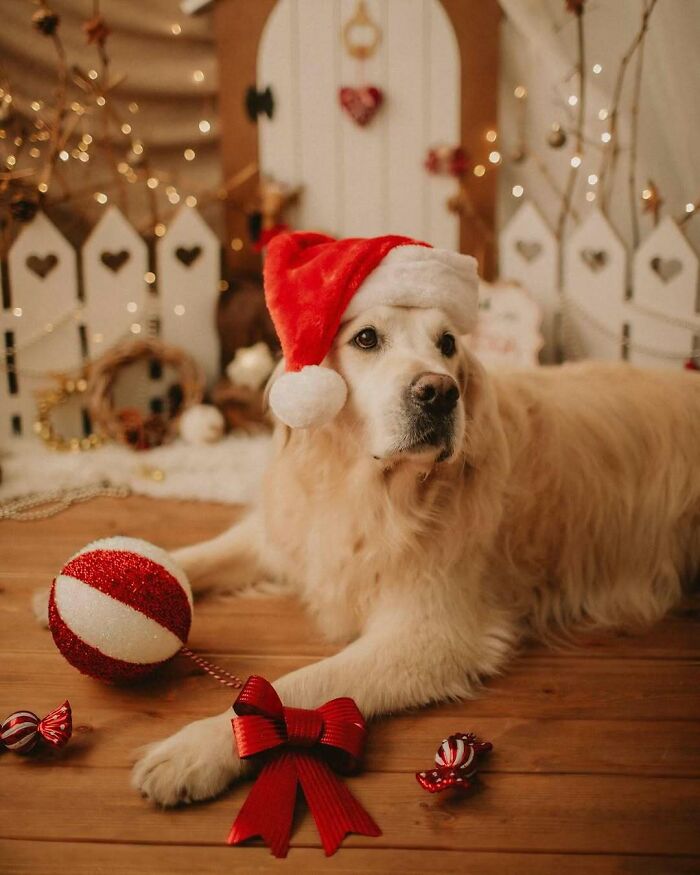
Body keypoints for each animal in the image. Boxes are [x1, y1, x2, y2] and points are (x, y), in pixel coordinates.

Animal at [131, 302, 700, 808]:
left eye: (447, 344)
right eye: (365, 338)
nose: (440, 392)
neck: (374, 491)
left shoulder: (431, 635)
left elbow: (303, 681)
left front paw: (196, 749)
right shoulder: (289, 534)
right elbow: (187, 559)